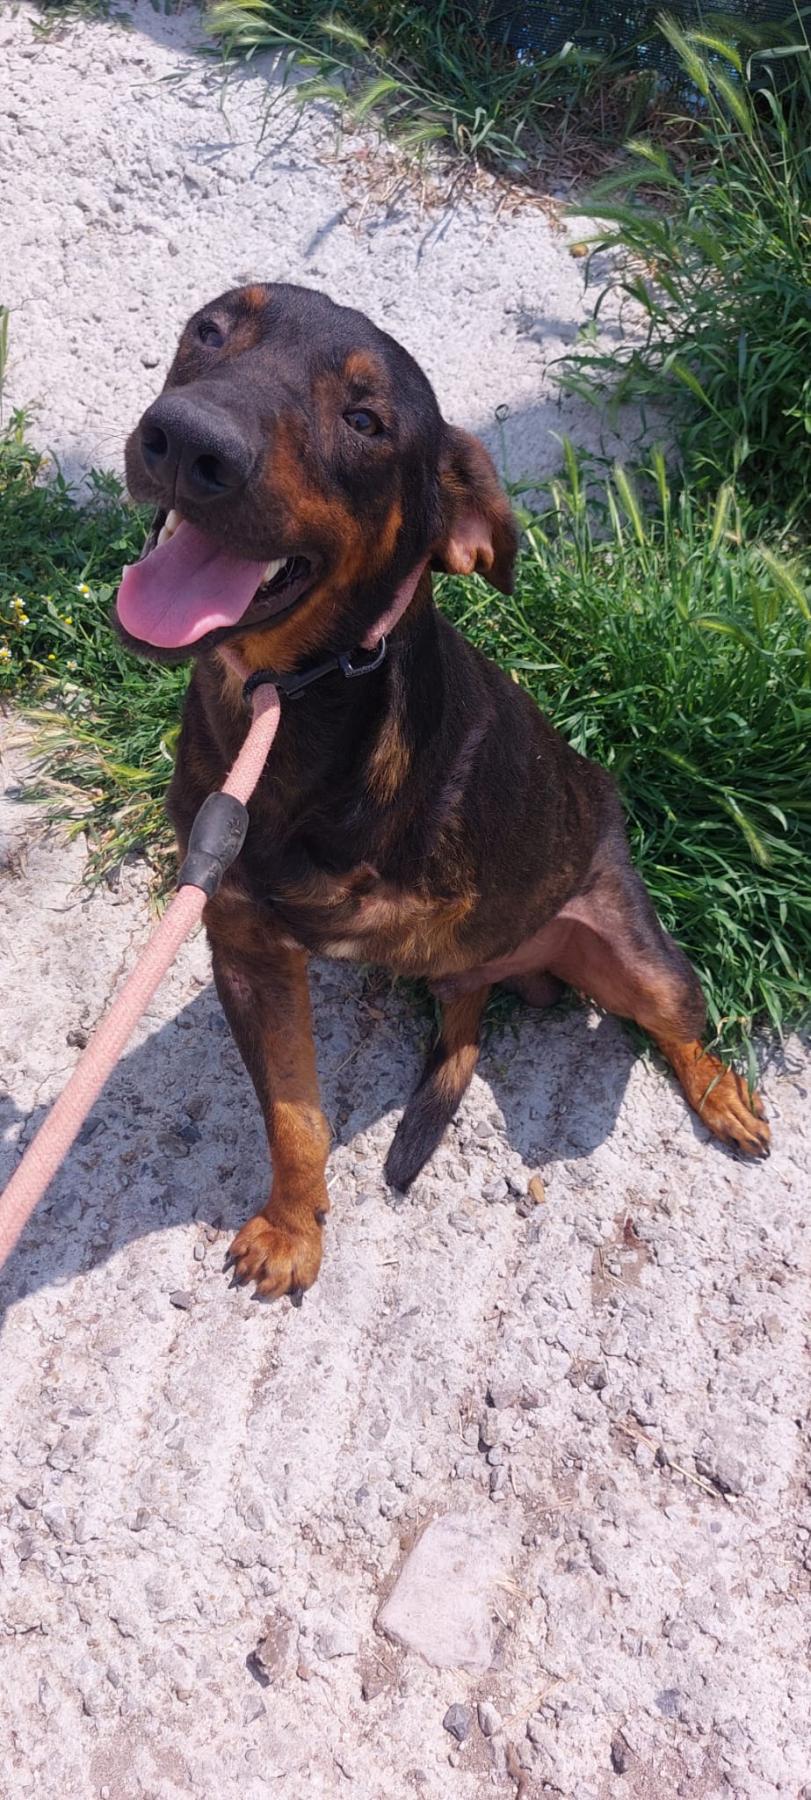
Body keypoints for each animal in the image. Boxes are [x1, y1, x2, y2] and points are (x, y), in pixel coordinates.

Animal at [116, 282, 769, 1301]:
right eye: (210, 331)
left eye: (366, 421)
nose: (184, 441)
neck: (286, 701)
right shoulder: (247, 948)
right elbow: (294, 1116)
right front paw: (294, 1227)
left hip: (643, 960)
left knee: (678, 1024)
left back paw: (719, 1094)